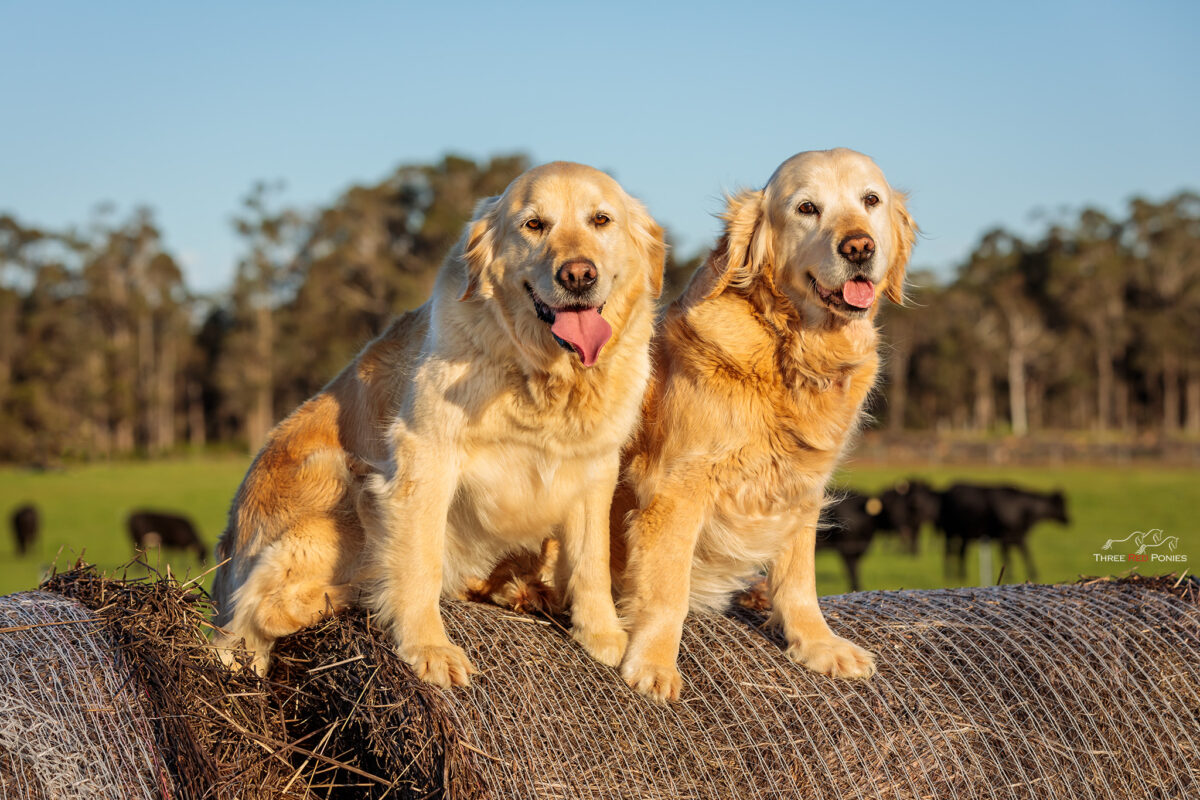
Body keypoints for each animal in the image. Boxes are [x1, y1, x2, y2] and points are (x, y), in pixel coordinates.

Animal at [936, 482, 1070, 582]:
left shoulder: (1018, 536)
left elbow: (1024, 554)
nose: (1069, 520)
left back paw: (961, 575)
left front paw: (1032, 573)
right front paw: (1012, 576)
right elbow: (1010, 557)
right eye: (1061, 504)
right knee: (949, 552)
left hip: (964, 534)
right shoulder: (1006, 537)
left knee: (961, 552)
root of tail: (948, 490)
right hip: (950, 531)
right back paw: (950, 574)